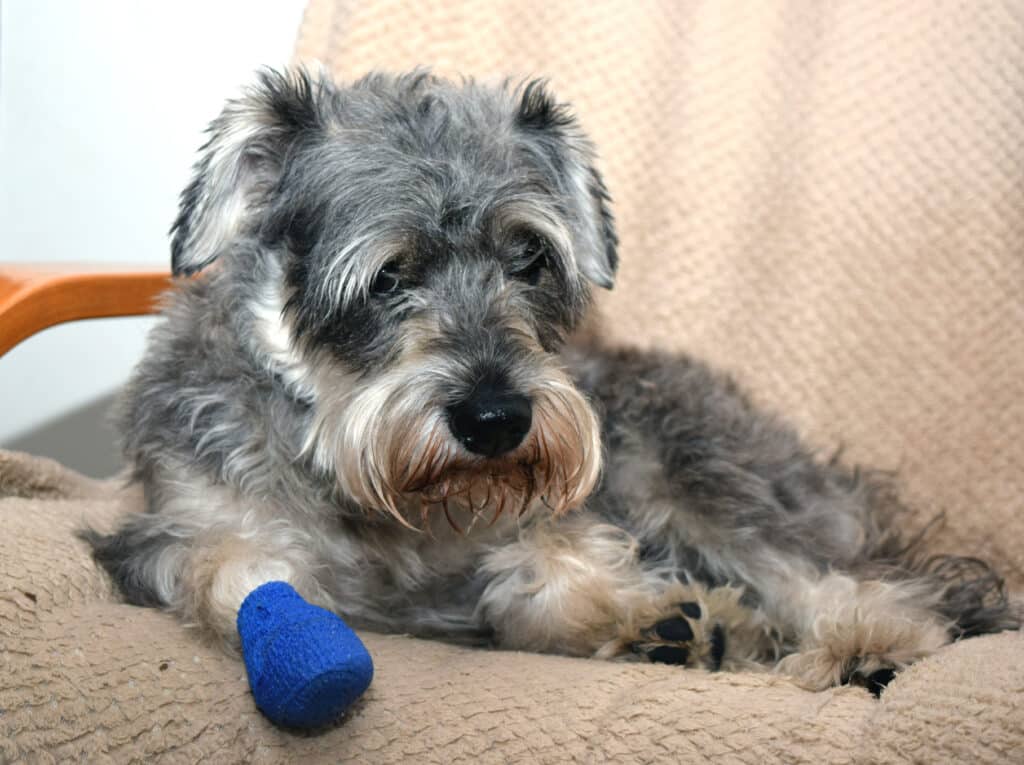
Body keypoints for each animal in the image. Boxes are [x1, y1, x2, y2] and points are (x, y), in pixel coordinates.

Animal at [83, 68, 1019, 696]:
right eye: (387, 275)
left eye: (530, 256)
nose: (496, 419)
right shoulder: (180, 528)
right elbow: (244, 574)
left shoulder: (566, 514)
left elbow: (547, 569)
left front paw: (653, 617)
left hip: (689, 475)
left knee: (854, 579)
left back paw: (864, 640)